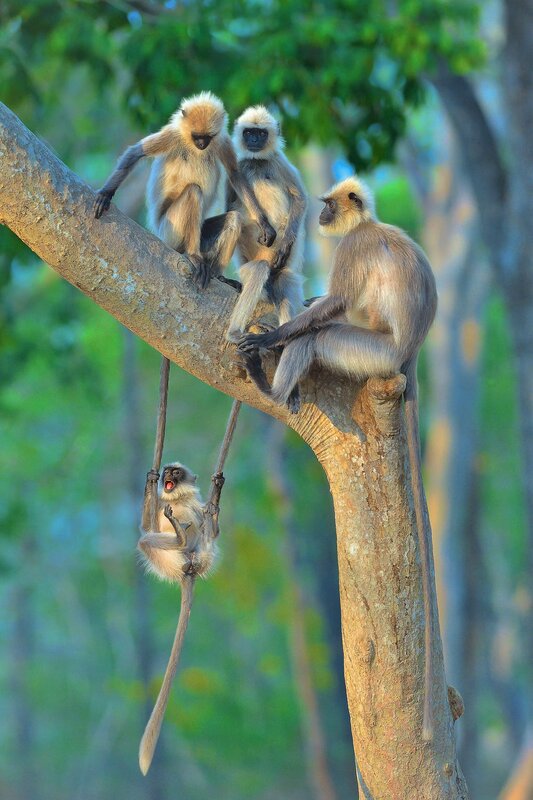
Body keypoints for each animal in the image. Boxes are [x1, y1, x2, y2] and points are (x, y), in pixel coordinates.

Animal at [93, 92, 276, 289]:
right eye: (196, 136)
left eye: (207, 137)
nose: (202, 144)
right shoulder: (172, 135)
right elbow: (135, 153)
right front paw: (105, 194)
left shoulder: (221, 140)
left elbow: (235, 174)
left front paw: (264, 223)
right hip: (169, 231)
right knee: (194, 192)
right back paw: (193, 255)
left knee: (234, 218)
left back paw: (218, 275)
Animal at [137, 461, 218, 775]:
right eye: (168, 471)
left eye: (176, 472)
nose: (167, 476)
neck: (178, 500)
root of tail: (188, 570)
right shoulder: (161, 505)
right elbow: (146, 525)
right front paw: (150, 481)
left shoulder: (197, 505)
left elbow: (213, 528)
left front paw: (216, 495)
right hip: (168, 561)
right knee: (146, 540)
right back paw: (179, 537)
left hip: (200, 557)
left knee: (204, 536)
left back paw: (185, 533)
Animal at [225, 105, 307, 342]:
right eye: (249, 132)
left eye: (260, 133)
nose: (253, 140)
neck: (257, 162)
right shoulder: (240, 165)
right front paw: (264, 226)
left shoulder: (279, 161)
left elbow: (300, 199)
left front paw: (285, 243)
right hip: (250, 268)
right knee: (259, 270)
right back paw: (234, 332)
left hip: (280, 269)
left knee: (284, 282)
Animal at [239, 176, 439, 741]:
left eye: (328, 205)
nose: (323, 214)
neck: (367, 224)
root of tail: (408, 355)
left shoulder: (353, 248)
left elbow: (336, 305)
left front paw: (272, 337)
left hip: (371, 354)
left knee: (322, 336)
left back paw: (272, 385)